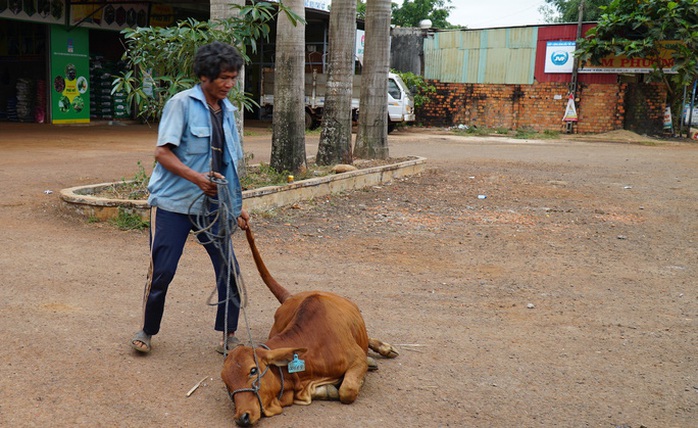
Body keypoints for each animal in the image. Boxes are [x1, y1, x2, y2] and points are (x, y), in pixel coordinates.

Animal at [222, 226, 396, 426]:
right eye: (226, 383)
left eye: (253, 370)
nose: (242, 417)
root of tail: (291, 297)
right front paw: (328, 390)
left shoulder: (357, 359)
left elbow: (347, 391)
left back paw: (383, 349)